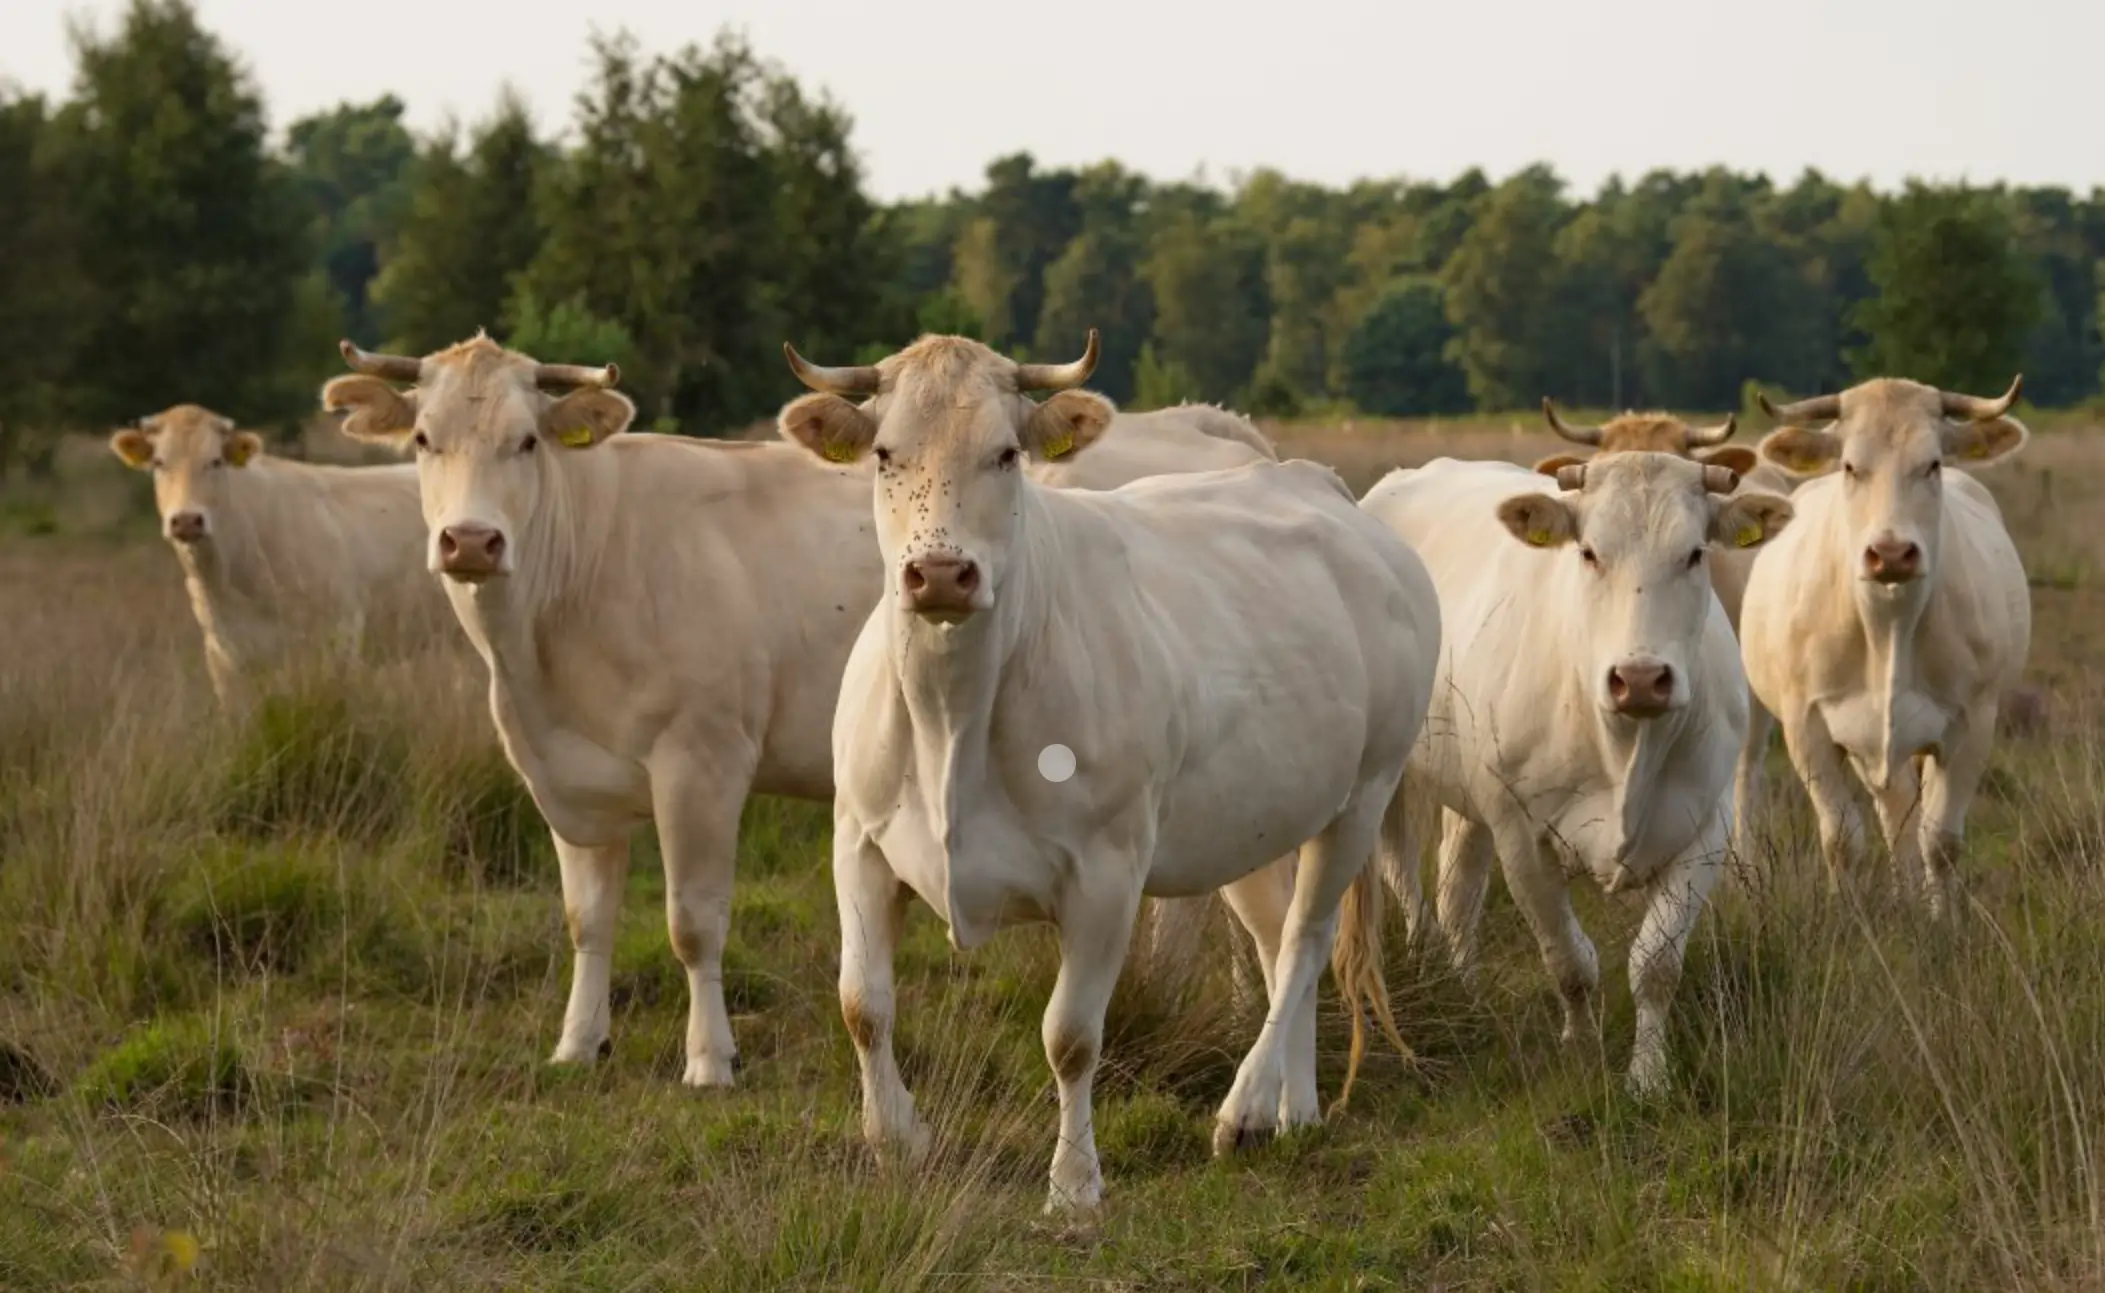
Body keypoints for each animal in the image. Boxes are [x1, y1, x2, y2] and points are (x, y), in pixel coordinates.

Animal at [777, 331, 1439, 1210]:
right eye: (884, 453)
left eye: (1006, 453)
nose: (941, 572)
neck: (952, 715)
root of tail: (1319, 483)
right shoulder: (858, 843)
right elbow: (863, 1005)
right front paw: (897, 1142)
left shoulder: (1105, 873)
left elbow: (1070, 1036)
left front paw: (1073, 1185)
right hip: (1248, 817)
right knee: (1275, 942)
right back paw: (1292, 1107)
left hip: (1363, 791)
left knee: (1307, 937)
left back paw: (1244, 1109)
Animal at [1362, 452, 1793, 1093]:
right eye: (1589, 552)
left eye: (1695, 553)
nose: (1640, 679)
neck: (1625, 744)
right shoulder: (1523, 839)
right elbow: (1569, 961)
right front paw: (1583, 1047)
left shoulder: (1704, 834)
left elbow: (1656, 964)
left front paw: (1648, 1074)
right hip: (1390, 779)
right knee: (1406, 879)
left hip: (1470, 795)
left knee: (1457, 888)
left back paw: (1467, 989)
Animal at [1739, 377, 2031, 917]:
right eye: (1851, 466)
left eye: (1932, 463)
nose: (1891, 553)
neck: (1888, 625)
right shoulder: (1807, 726)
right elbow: (1842, 838)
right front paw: (1847, 918)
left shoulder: (1972, 724)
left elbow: (1940, 841)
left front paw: (1942, 922)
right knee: (1893, 814)